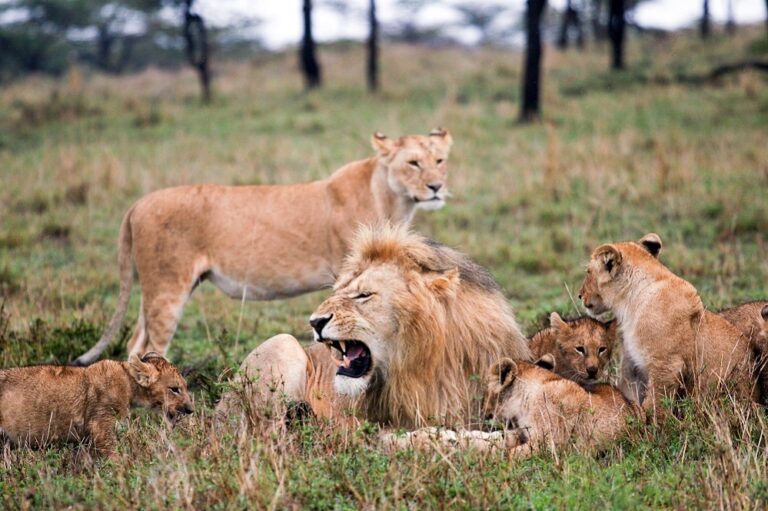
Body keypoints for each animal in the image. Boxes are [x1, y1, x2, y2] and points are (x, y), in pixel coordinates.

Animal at [75, 129, 454, 366]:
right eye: (413, 163)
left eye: (440, 161)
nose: (436, 187)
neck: (394, 200)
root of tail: (137, 204)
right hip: (168, 288)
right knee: (154, 348)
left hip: (156, 288)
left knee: (135, 346)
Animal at [579, 233, 754, 413]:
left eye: (588, 272)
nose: (579, 295)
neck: (629, 304)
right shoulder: (632, 365)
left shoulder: (667, 365)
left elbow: (654, 405)